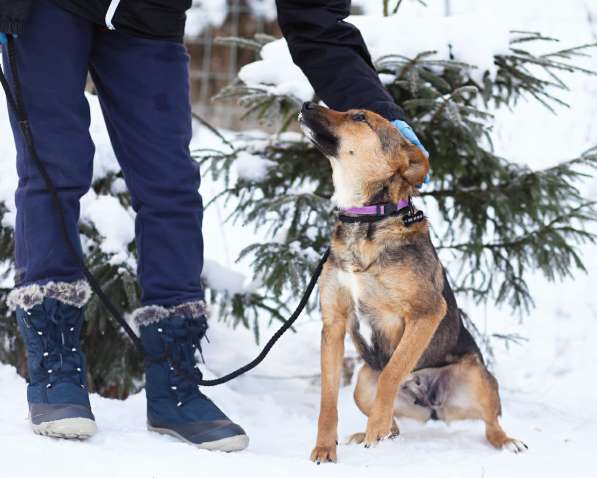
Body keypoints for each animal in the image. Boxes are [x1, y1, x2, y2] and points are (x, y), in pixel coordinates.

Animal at [298, 101, 528, 464]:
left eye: (359, 117)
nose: (306, 103)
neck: (366, 220)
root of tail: (432, 407)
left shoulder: (427, 312)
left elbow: (393, 372)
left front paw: (375, 426)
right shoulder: (333, 324)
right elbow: (328, 398)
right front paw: (325, 448)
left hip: (478, 376)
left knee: (491, 422)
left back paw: (506, 442)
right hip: (363, 382)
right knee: (393, 421)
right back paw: (372, 432)